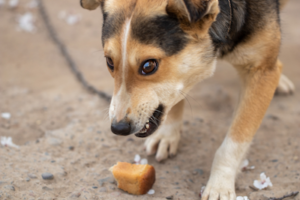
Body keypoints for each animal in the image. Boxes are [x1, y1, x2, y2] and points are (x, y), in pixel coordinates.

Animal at [81, 0, 294, 199]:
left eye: (149, 66)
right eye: (109, 62)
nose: (118, 128)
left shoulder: (260, 71)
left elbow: (235, 141)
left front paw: (219, 184)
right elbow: (176, 92)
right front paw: (168, 134)